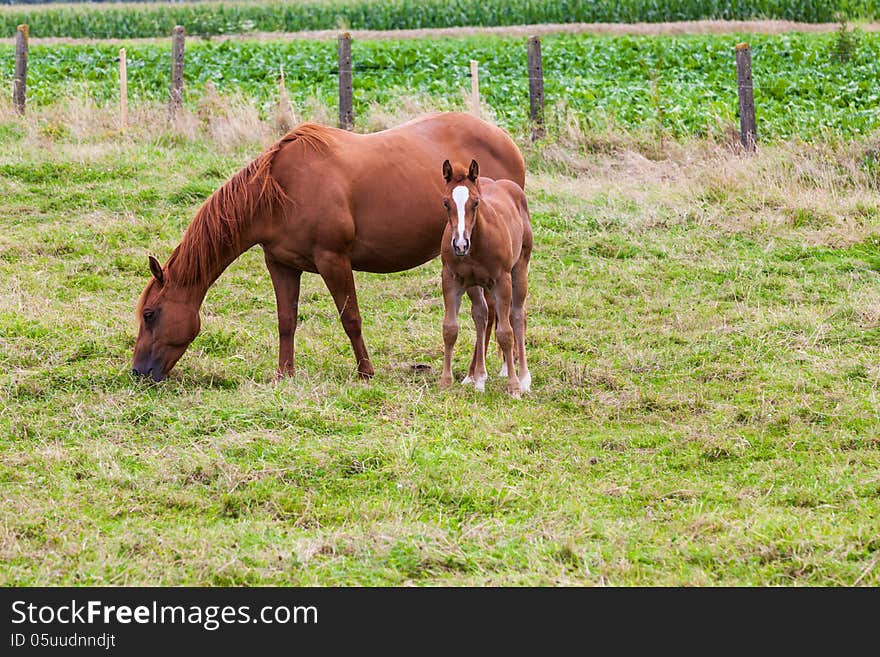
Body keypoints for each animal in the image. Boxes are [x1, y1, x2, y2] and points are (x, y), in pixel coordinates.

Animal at [131, 111, 524, 380]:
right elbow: (286, 320)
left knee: (491, 312)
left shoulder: (333, 260)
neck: (279, 191)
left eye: (150, 314)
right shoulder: (281, 264)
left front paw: (366, 372)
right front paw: (284, 374)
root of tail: (505, 140)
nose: (137, 372)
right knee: (487, 312)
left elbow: (350, 318)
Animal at [438, 158, 532, 400]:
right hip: (474, 284)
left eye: (476, 203)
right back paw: (478, 378)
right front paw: (445, 382)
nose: (460, 245)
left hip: (520, 268)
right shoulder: (451, 279)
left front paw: (514, 387)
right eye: (446, 203)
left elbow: (506, 333)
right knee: (481, 315)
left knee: (517, 315)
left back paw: (524, 378)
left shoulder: (502, 282)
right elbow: (450, 329)